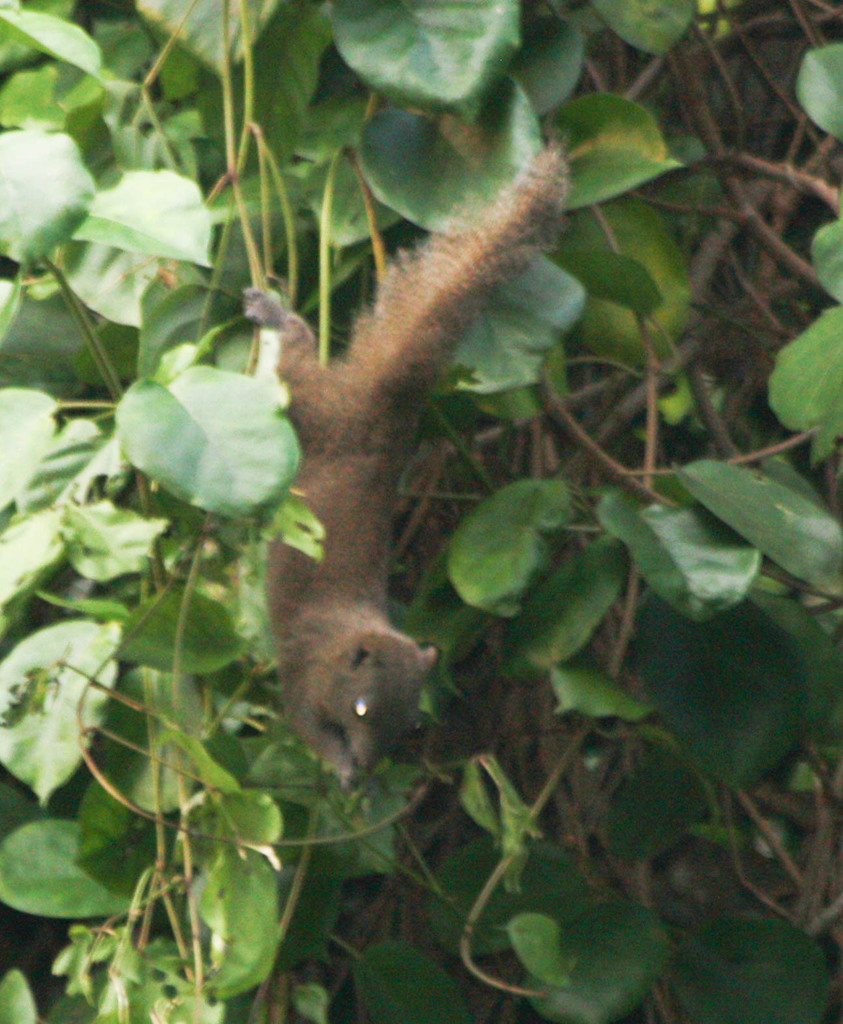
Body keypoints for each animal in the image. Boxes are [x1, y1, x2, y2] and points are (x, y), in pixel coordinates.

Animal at [245, 145, 568, 788]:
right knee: (296, 359)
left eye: (411, 722)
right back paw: (274, 315)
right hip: (315, 413)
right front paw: (343, 769)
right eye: (361, 708)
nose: (370, 766)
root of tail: (379, 420)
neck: (343, 642)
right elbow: (307, 726)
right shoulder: (303, 671)